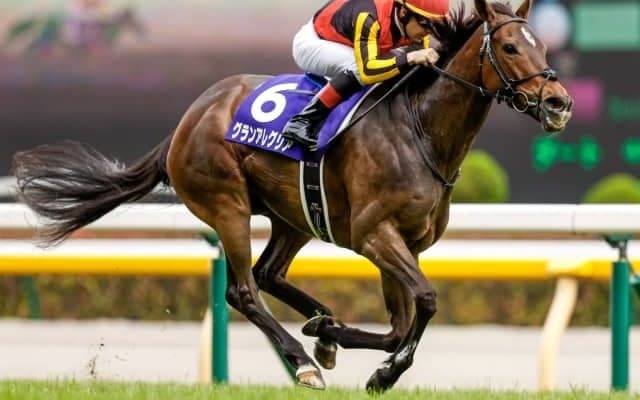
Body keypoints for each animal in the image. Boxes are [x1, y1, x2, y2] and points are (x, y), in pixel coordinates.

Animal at [12, 0, 572, 392]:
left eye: (543, 47)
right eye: (510, 48)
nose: (559, 103)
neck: (420, 130)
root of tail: (187, 120)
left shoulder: (405, 243)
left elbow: (400, 323)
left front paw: (347, 345)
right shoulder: (374, 236)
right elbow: (427, 301)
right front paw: (380, 370)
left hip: (295, 216)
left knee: (267, 274)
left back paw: (321, 328)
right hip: (227, 205)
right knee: (243, 290)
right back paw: (303, 363)